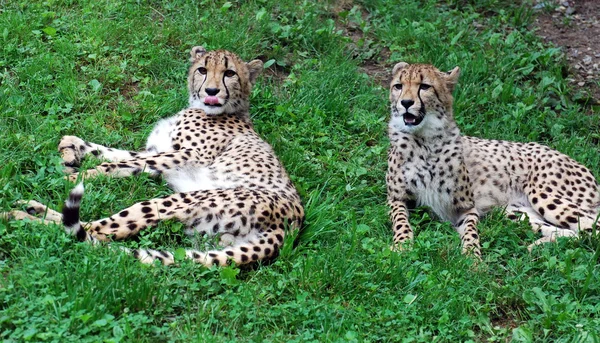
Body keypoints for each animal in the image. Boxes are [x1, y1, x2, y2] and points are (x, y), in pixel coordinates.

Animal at [4, 47, 304, 268]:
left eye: (229, 73)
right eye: (202, 70)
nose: (211, 91)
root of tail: (292, 223)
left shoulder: (187, 154)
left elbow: (117, 163)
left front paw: (79, 174)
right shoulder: (157, 151)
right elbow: (118, 155)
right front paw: (72, 147)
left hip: (180, 200)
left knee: (97, 230)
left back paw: (21, 216)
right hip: (207, 232)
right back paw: (31, 209)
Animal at [386, 61, 596, 258]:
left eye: (424, 86)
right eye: (398, 86)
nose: (405, 102)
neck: (424, 141)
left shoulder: (466, 207)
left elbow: (471, 232)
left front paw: (472, 256)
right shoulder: (396, 199)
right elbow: (401, 221)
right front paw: (402, 245)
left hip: (543, 195)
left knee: (591, 228)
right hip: (512, 211)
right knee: (574, 232)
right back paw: (536, 247)